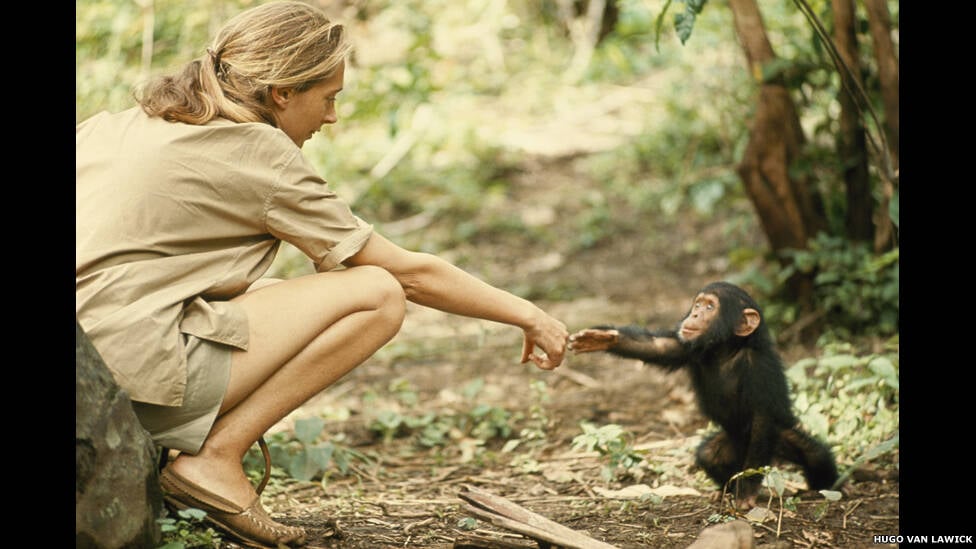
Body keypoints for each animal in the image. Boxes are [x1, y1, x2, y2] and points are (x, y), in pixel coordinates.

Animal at [568, 280, 836, 508]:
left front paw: (747, 492)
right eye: (698, 304)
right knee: (710, 456)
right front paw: (601, 338)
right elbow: (657, 347)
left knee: (816, 456)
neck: (726, 350)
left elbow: (762, 418)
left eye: (710, 307)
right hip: (732, 445)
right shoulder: (686, 346)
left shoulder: (760, 370)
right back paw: (724, 489)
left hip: (777, 439)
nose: (695, 314)